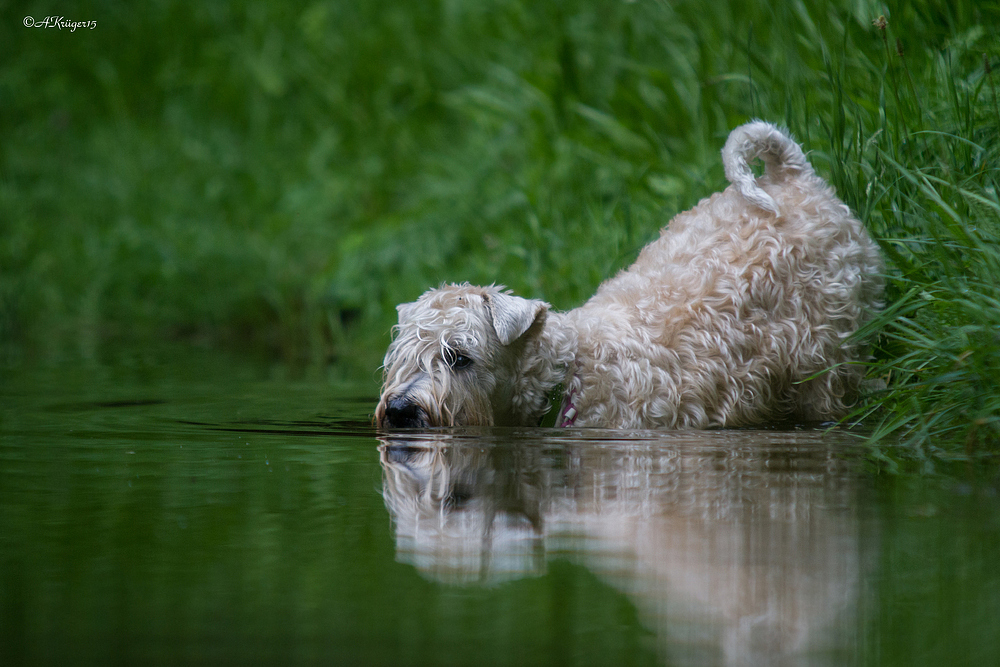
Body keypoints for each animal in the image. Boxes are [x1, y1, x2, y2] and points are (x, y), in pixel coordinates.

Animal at [376, 122, 884, 430]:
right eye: (399, 355)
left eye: (459, 357)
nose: (399, 410)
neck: (568, 377)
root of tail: (795, 178)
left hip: (830, 354)